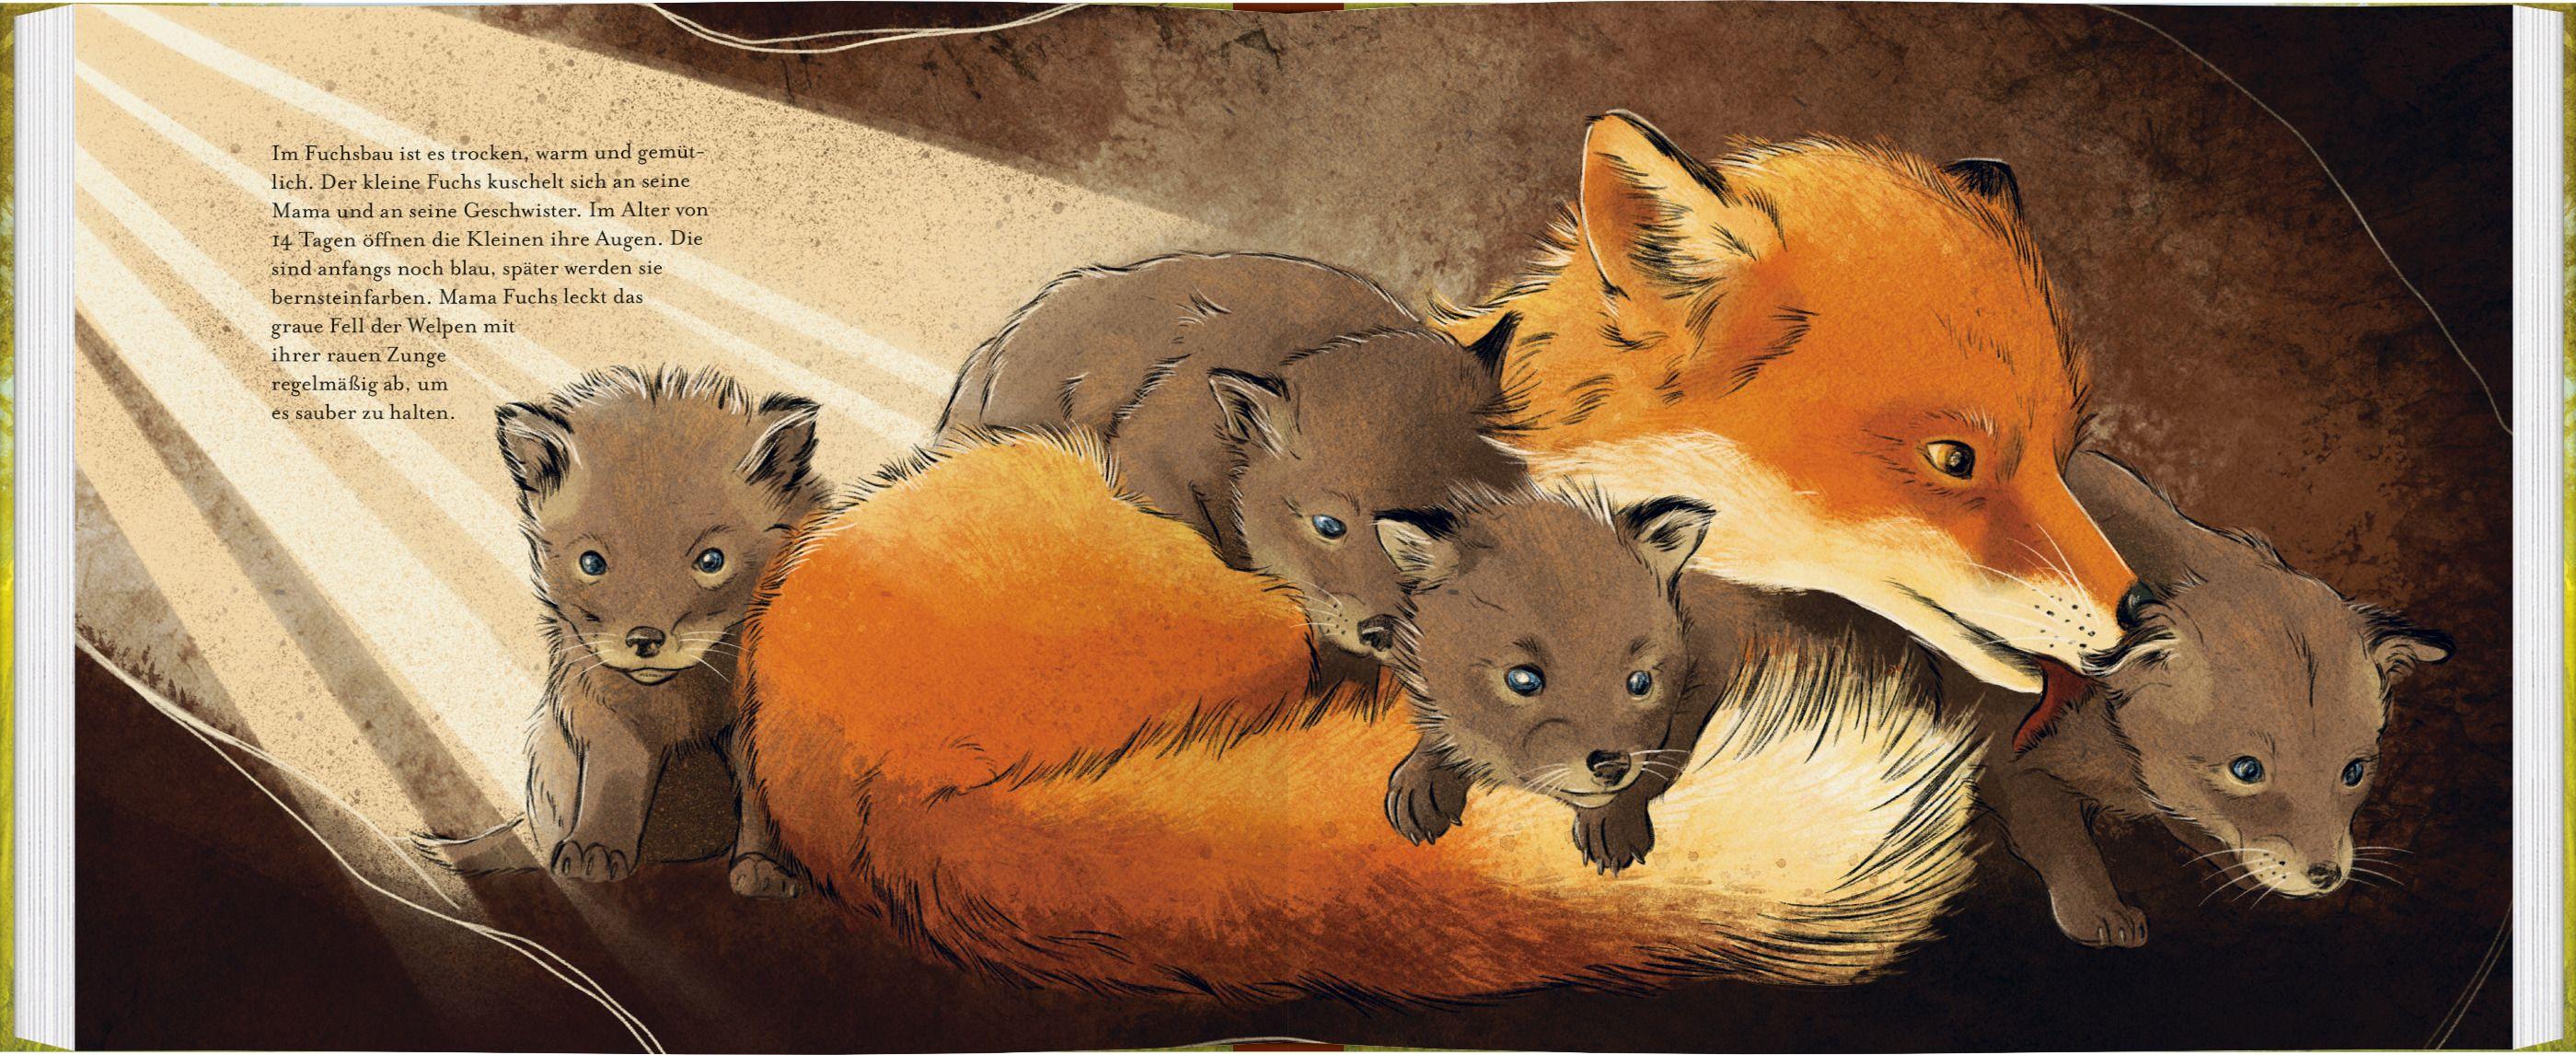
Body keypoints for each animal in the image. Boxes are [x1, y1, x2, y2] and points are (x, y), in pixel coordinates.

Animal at [418, 366, 825, 899]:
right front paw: (594, 852)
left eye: (712, 561)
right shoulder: (605, 707)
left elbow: (762, 801)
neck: (684, 698)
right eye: (592, 563)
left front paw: (764, 868)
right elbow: (615, 781)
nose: (645, 640)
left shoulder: (759, 718)